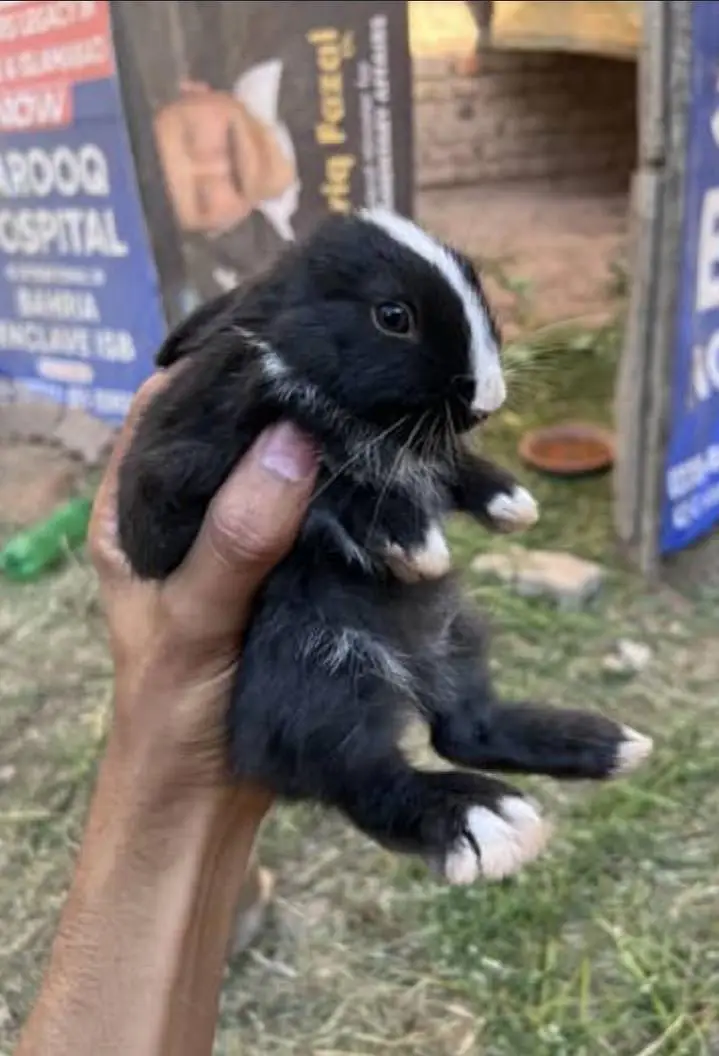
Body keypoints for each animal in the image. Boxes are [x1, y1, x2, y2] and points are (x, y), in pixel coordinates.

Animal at [117, 208, 653, 884]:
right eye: (393, 316)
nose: (489, 400)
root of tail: (411, 668)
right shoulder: (172, 491)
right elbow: (321, 454)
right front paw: (409, 535)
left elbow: (439, 464)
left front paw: (509, 502)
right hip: (317, 669)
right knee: (360, 776)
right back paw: (483, 820)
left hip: (455, 636)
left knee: (463, 727)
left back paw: (607, 745)